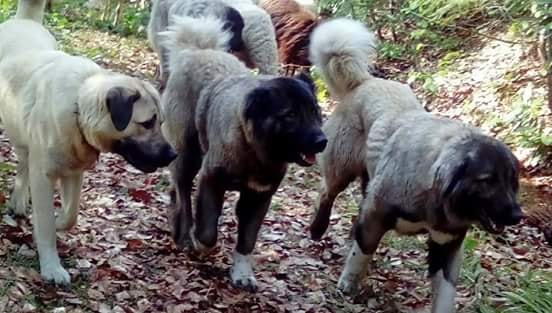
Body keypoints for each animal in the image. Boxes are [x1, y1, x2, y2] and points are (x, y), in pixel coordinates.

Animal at [0, 0, 177, 284]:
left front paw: (58, 222)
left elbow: (70, 214)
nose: (173, 155)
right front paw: (52, 267)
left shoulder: (74, 171)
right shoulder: (44, 176)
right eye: (147, 123)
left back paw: (18, 201)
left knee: (24, 162)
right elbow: (46, 225)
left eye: (160, 123)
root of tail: (24, 21)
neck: (79, 108)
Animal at [157, 16, 326, 290]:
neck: (253, 151)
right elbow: (207, 232)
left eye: (314, 112)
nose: (322, 141)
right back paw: (184, 232)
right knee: (182, 191)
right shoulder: (211, 181)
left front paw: (242, 273)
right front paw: (199, 243)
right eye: (290, 115)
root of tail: (197, 51)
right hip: (188, 155)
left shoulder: (259, 197)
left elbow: (247, 239)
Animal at [310, 17, 520, 312]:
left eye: (512, 182)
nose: (517, 215)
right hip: (341, 168)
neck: (433, 190)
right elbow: (362, 252)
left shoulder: (447, 244)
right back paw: (317, 229)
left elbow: (445, 293)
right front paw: (348, 284)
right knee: (327, 193)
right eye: (487, 180)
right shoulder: (375, 214)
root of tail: (365, 81)